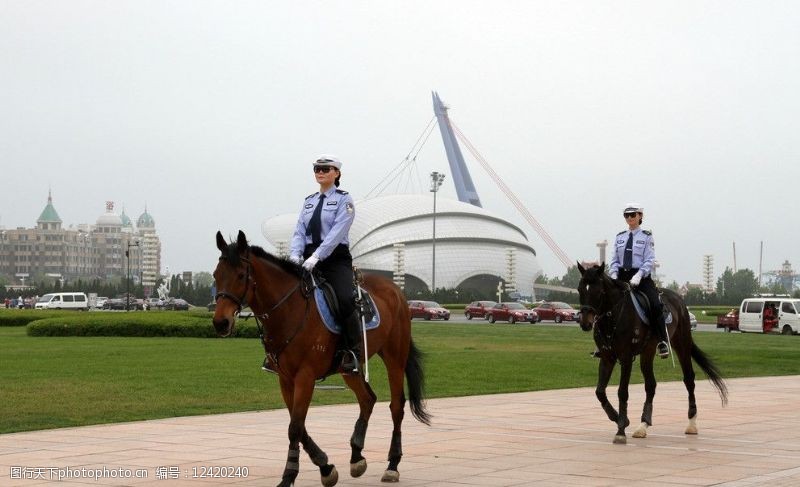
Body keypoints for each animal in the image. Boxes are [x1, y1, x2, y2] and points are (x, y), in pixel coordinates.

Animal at [209, 231, 428, 486]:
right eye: (216, 275)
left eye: (241, 275)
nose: (220, 322)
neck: (290, 310)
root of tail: (395, 289)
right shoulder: (286, 379)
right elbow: (298, 425)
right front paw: (325, 466)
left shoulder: (305, 377)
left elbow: (295, 427)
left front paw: (289, 475)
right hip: (349, 367)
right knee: (367, 399)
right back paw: (356, 456)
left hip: (395, 356)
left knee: (396, 406)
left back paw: (392, 464)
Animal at [580, 264, 728, 446]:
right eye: (580, 289)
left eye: (598, 292)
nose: (585, 322)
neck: (613, 317)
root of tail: (678, 298)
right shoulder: (607, 357)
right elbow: (600, 392)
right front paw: (618, 418)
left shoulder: (626, 357)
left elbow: (622, 392)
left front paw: (621, 430)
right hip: (648, 352)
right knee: (651, 385)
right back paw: (643, 425)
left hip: (682, 344)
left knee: (689, 379)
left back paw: (692, 423)